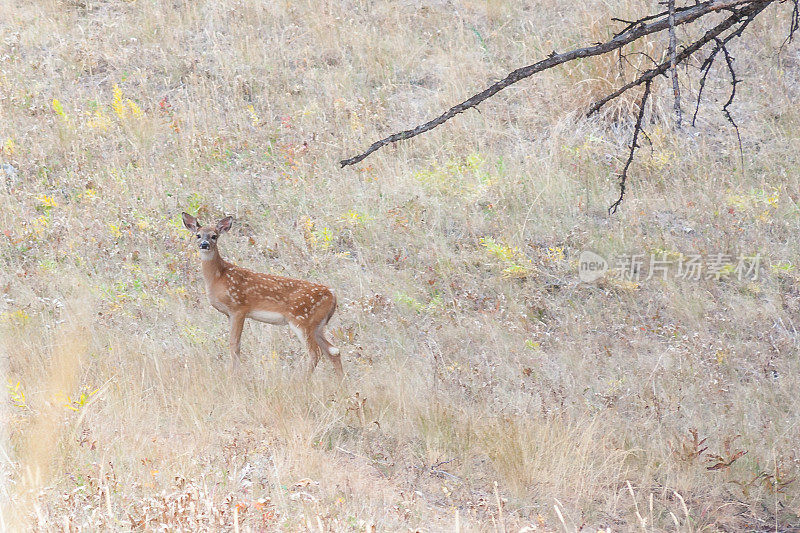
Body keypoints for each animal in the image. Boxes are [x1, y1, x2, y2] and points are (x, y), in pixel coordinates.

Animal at [181, 212, 344, 378]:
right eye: (198, 235)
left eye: (214, 236)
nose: (204, 244)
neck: (218, 278)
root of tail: (333, 295)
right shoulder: (229, 313)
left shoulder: (238, 308)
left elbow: (234, 344)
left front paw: (234, 375)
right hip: (317, 325)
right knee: (333, 351)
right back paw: (340, 381)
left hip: (301, 319)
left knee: (315, 353)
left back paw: (301, 379)